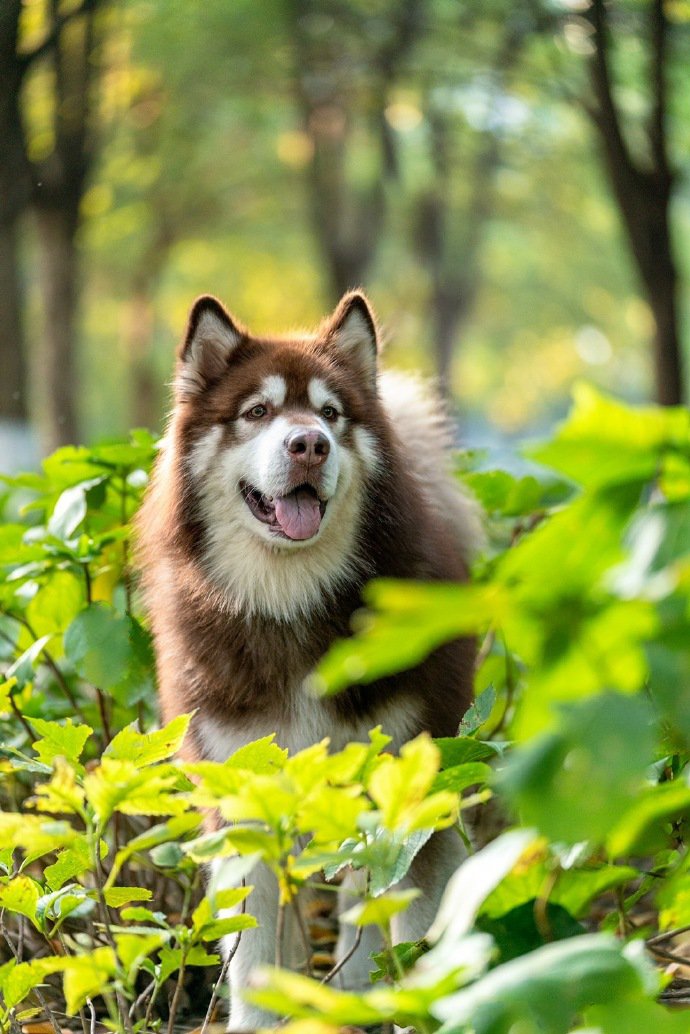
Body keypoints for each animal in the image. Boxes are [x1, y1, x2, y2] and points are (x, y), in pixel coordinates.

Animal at [138, 291, 484, 1025]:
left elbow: (399, 923)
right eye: (257, 412)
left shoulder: (405, 785)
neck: (291, 605)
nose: (309, 444)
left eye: (330, 414)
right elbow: (255, 950)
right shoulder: (242, 797)